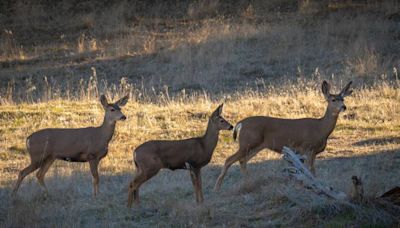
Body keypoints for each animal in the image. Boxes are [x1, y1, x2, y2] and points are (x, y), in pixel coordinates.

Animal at [216, 80, 354, 191]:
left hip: (256, 146)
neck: (321, 129)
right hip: (247, 143)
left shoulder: (310, 152)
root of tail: (241, 123)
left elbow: (309, 171)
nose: (344, 107)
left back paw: (249, 182)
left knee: (242, 160)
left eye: (343, 99)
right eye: (333, 100)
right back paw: (217, 188)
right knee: (229, 159)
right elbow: (310, 171)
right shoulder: (308, 148)